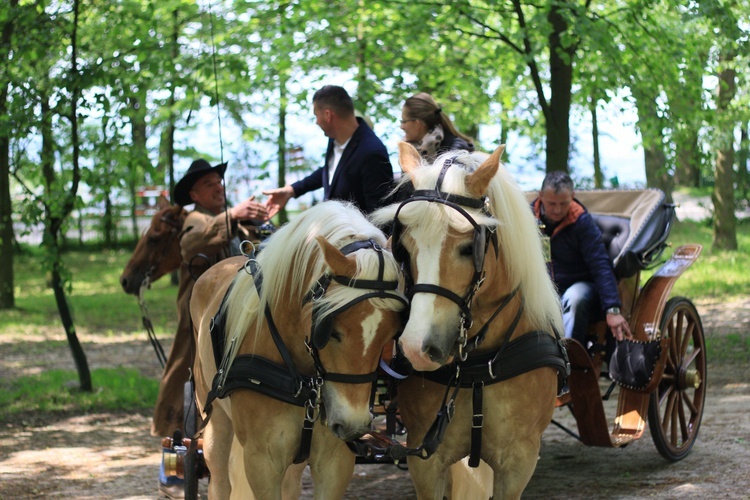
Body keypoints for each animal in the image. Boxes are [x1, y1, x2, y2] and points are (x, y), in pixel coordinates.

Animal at [191, 200, 408, 500]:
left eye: (390, 334)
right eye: (331, 330)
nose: (353, 425)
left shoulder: (335, 460)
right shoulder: (262, 461)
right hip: (214, 421)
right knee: (220, 479)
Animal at [370, 144, 568, 500]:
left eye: (467, 248)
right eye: (403, 246)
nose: (417, 348)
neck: (477, 367)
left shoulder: (519, 461)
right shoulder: (425, 460)